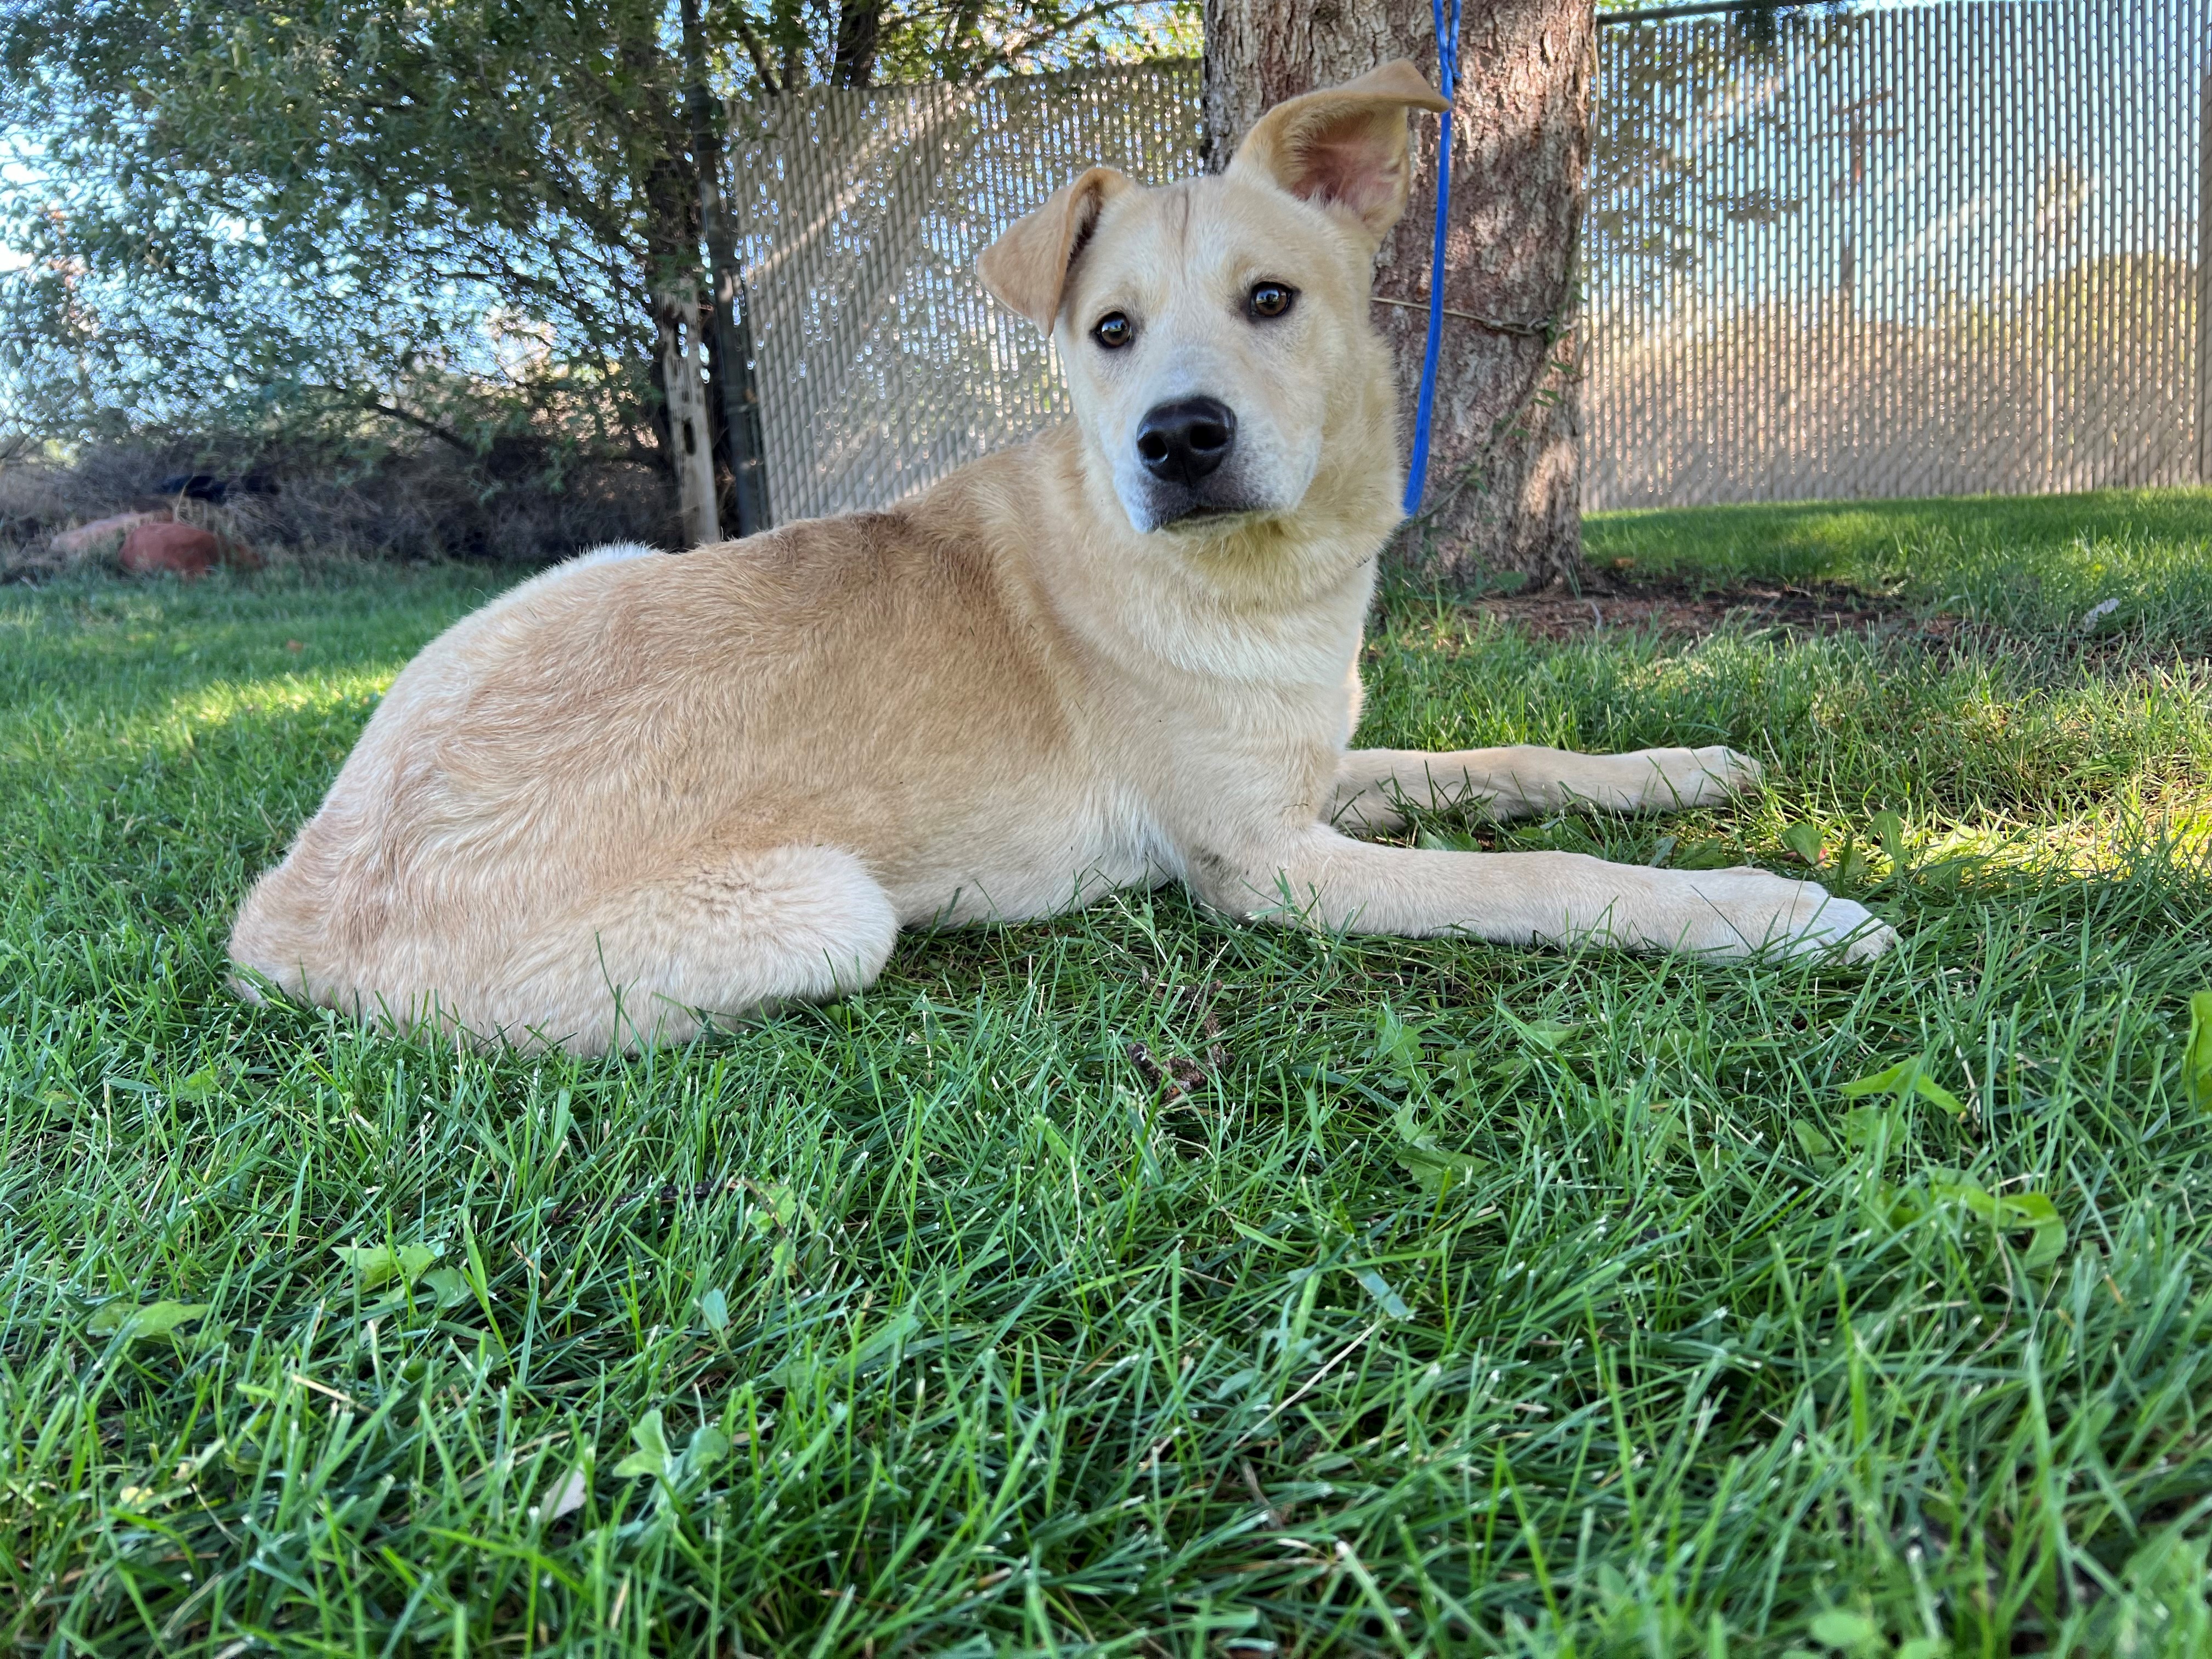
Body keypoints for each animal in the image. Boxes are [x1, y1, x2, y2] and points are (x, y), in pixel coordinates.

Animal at [233, 65, 1893, 1057]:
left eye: (1273, 298)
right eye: (1109, 331)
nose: (1179, 438)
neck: (1250, 577)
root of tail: (284, 911)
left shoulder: (1306, 773)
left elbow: (1505, 762)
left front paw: (1679, 768)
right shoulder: (1268, 869)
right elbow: (1549, 878)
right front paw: (1772, 912)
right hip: (831, 911)